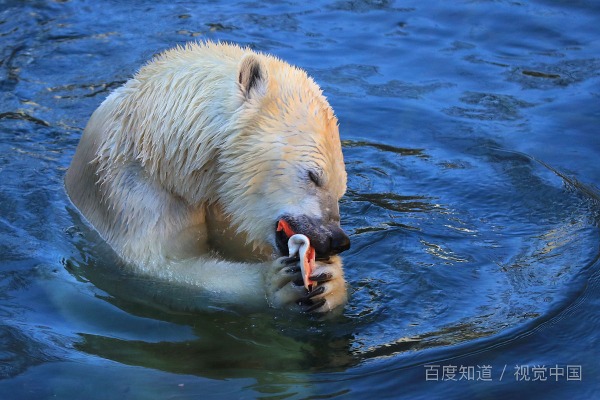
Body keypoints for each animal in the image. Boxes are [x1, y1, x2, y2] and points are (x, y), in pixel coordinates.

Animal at [65, 42, 350, 314]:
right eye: (313, 176)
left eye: (341, 188)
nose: (337, 240)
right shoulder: (136, 191)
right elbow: (160, 264)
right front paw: (277, 281)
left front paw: (330, 283)